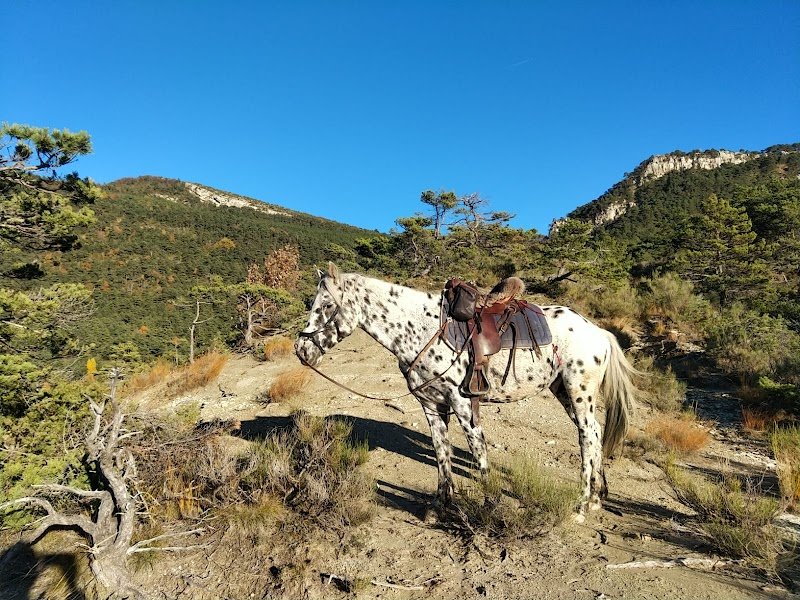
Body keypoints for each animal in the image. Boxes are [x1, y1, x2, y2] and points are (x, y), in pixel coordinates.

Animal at [294, 263, 637, 521]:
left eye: (326, 306)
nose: (300, 350)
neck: (420, 331)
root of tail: (599, 332)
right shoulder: (431, 405)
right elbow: (442, 453)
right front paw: (439, 506)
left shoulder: (462, 403)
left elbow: (478, 454)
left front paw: (490, 506)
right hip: (563, 391)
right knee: (594, 433)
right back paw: (596, 498)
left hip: (579, 392)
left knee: (587, 437)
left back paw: (581, 505)